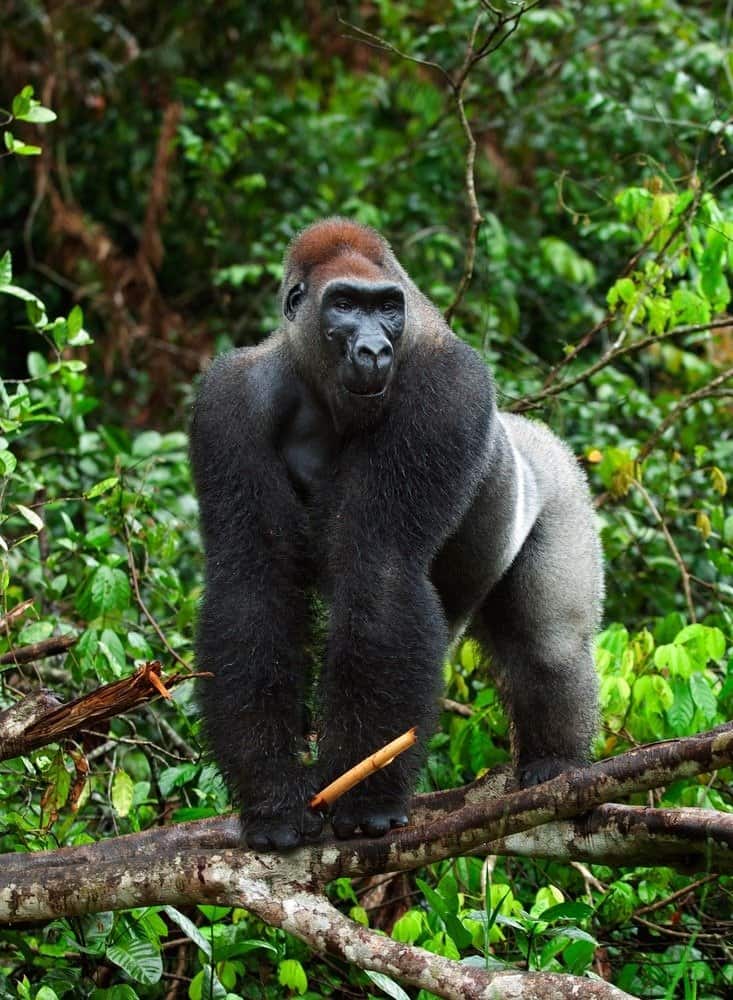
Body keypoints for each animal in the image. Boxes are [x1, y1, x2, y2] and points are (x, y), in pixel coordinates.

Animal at [189, 219, 600, 852]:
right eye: (344, 305)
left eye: (387, 308)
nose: (375, 350)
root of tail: (535, 432)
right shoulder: (226, 401)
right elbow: (253, 585)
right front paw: (273, 798)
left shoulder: (449, 390)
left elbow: (378, 572)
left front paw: (365, 796)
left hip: (561, 485)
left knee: (548, 643)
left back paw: (556, 762)